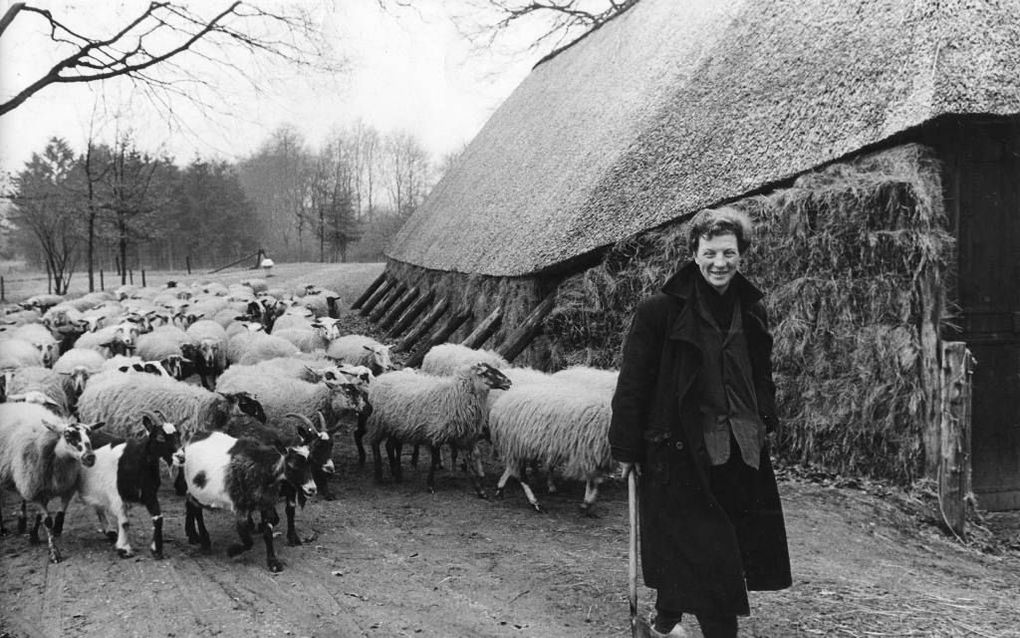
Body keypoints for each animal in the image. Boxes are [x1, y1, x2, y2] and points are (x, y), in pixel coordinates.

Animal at [0, 402, 103, 563]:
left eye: (90, 433)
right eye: (68, 435)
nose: (89, 457)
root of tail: (9, 404)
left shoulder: (66, 487)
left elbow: (59, 514)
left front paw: (39, 534)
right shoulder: (35, 490)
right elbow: (48, 521)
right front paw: (54, 552)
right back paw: (4, 529)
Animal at [79, 410, 185, 555]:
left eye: (178, 434)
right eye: (160, 437)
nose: (181, 457)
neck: (136, 460)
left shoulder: (149, 493)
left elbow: (158, 517)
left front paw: (156, 549)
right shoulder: (116, 494)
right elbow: (124, 522)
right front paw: (124, 548)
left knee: (98, 506)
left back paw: (110, 531)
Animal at [180, 428, 314, 571]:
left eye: (310, 463)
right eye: (293, 465)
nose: (312, 489)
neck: (261, 467)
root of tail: (194, 436)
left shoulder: (266, 502)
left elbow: (268, 532)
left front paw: (273, 562)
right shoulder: (241, 507)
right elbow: (248, 541)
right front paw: (232, 551)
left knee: (191, 504)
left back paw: (194, 536)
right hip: (195, 489)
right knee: (196, 509)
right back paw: (204, 542)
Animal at [365, 363, 510, 498]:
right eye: (487, 373)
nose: (508, 382)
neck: (456, 394)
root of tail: (382, 377)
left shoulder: (461, 437)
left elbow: (469, 463)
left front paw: (480, 490)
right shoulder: (435, 433)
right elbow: (434, 459)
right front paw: (430, 485)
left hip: (395, 427)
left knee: (389, 446)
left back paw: (397, 475)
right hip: (378, 423)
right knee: (375, 445)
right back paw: (379, 476)